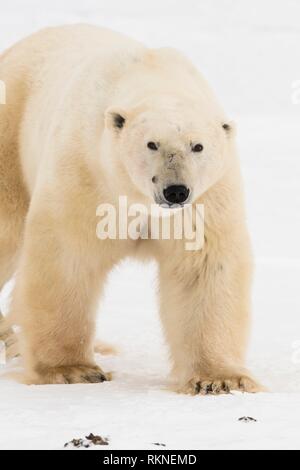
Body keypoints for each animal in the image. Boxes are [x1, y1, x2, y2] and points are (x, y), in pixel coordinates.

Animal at [0, 25, 262, 392]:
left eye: (197, 146)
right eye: (151, 144)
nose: (175, 190)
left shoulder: (207, 197)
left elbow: (203, 267)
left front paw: (220, 379)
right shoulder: (87, 171)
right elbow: (67, 257)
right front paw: (72, 370)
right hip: (10, 136)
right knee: (7, 231)